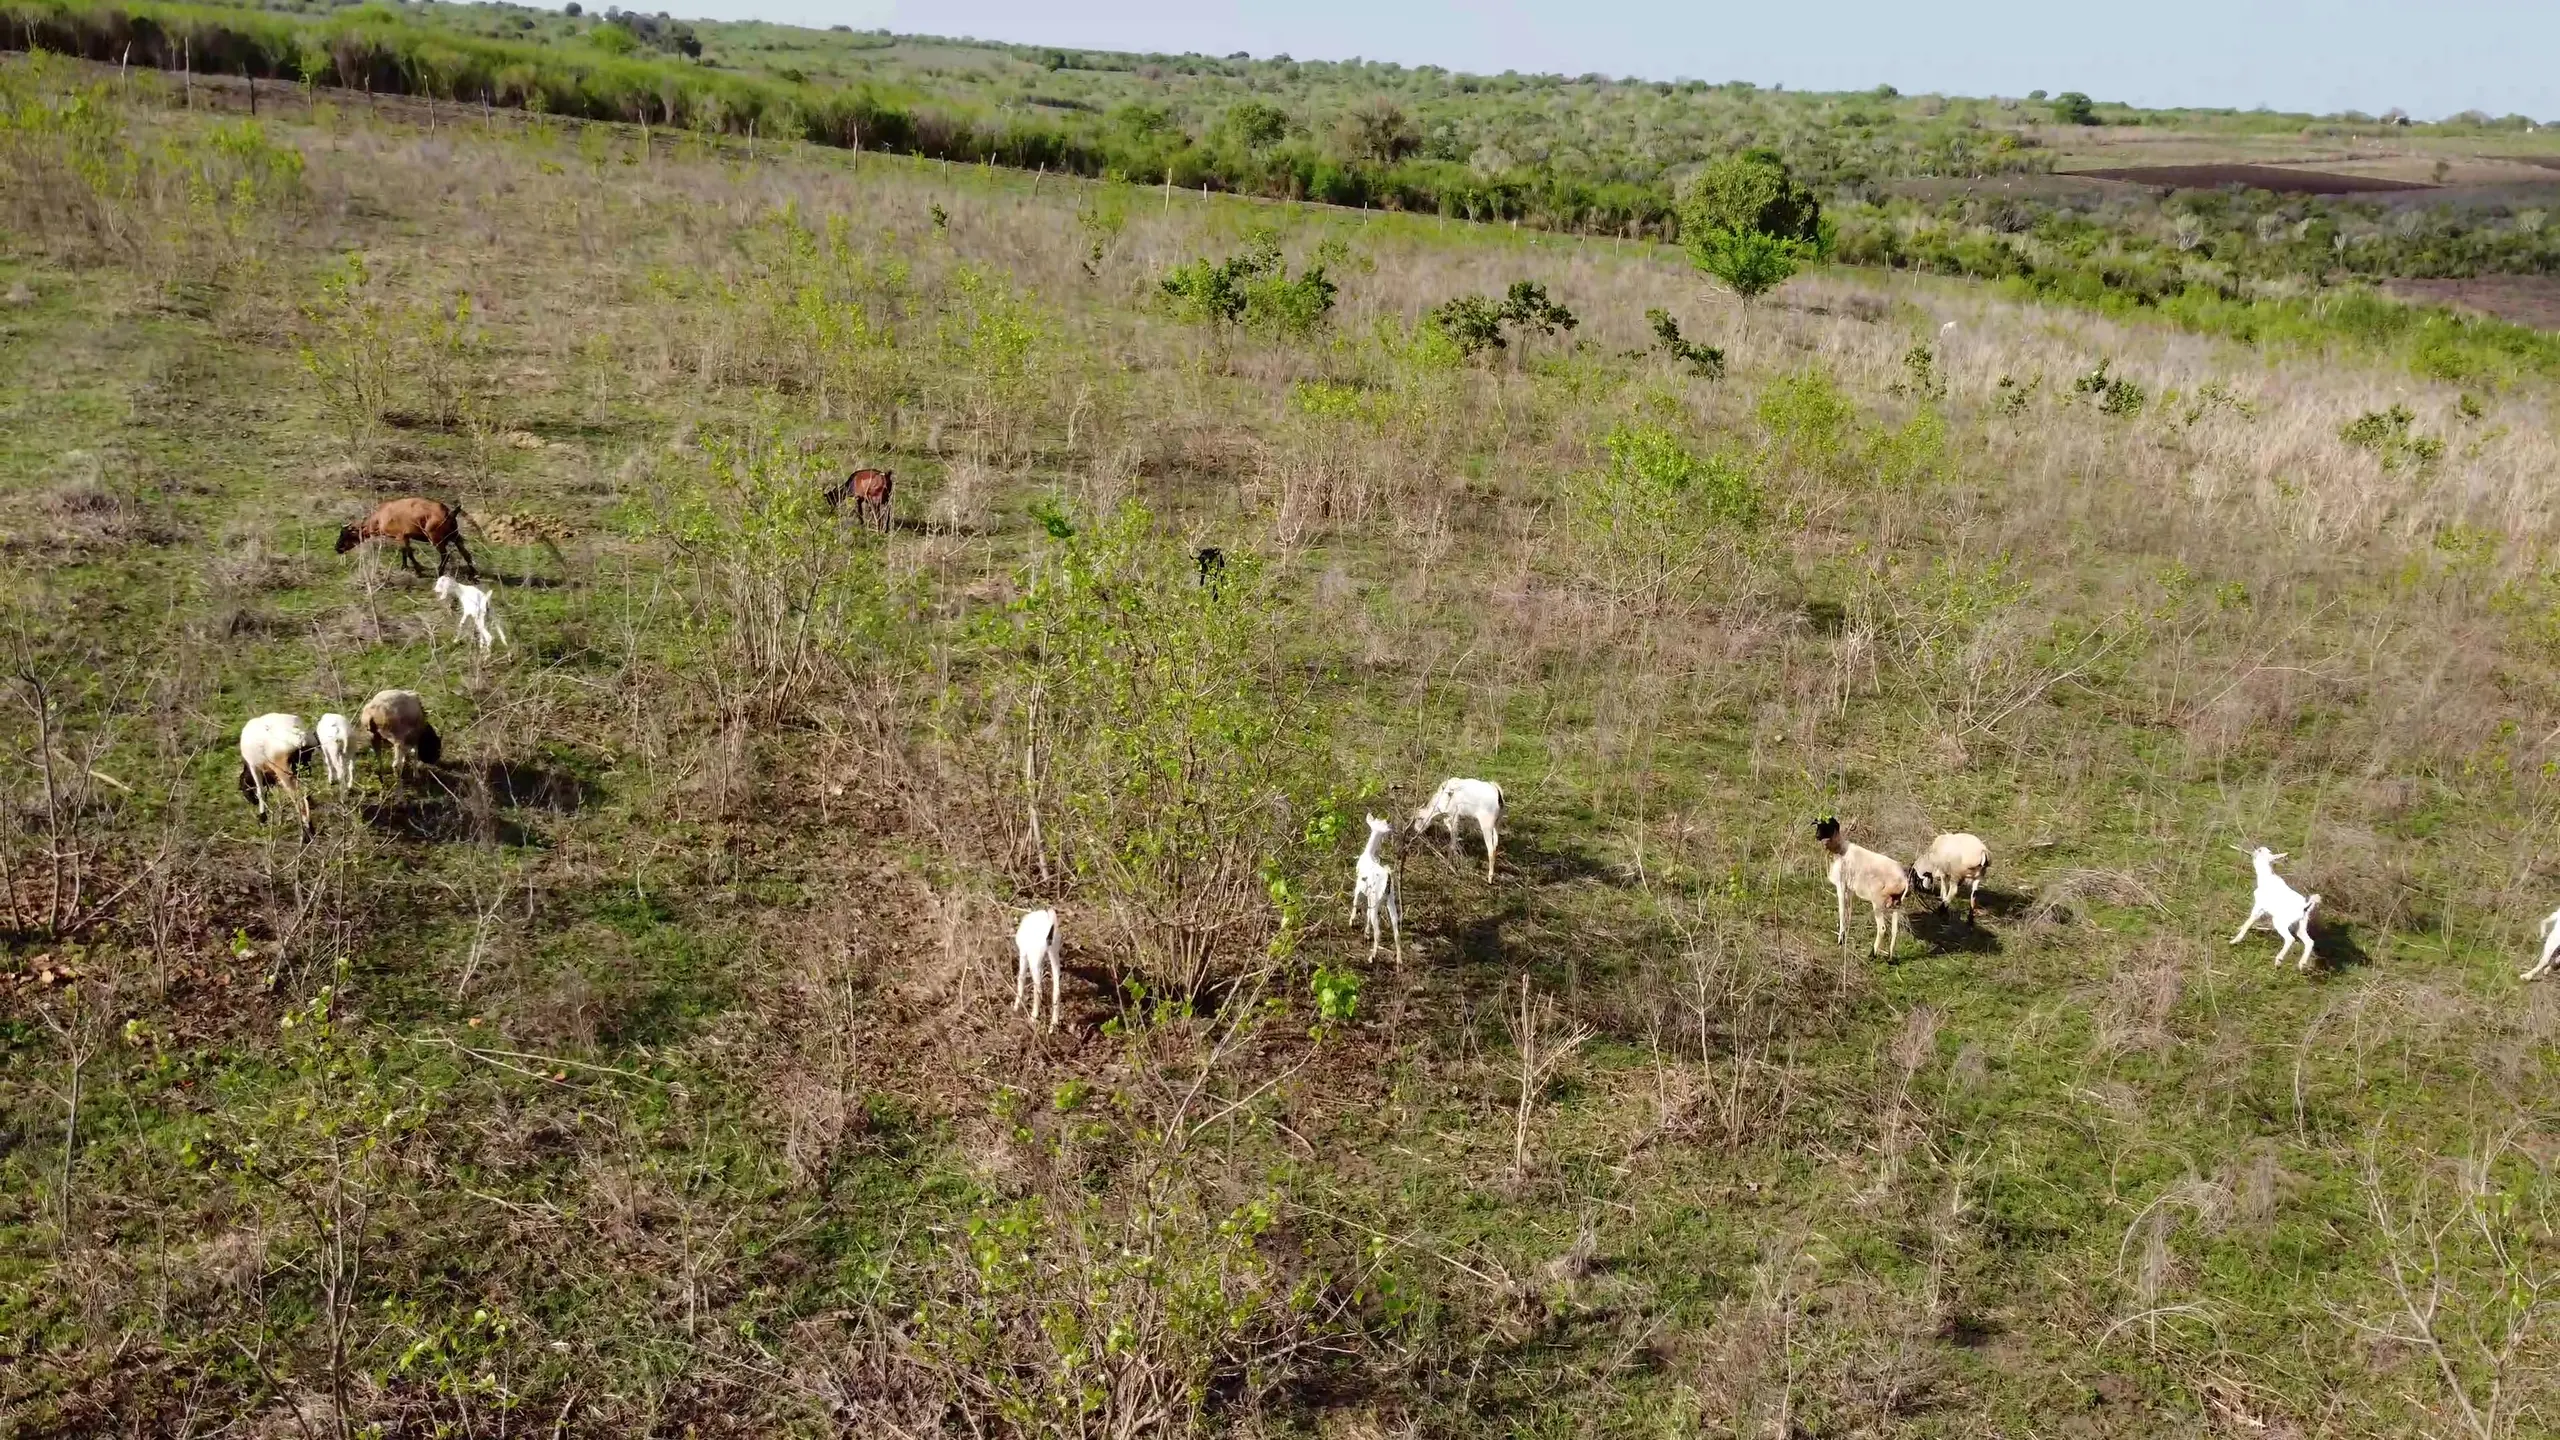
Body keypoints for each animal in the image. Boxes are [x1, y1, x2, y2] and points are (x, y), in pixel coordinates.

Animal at [336, 497, 475, 579]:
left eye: (345, 534)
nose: (337, 548)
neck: (381, 517)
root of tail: (449, 512)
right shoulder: (405, 537)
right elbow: (405, 552)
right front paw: (405, 567)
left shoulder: (400, 536)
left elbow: (408, 553)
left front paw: (418, 570)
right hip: (455, 536)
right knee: (466, 554)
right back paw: (473, 574)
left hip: (436, 538)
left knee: (445, 555)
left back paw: (439, 572)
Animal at [1351, 814, 1402, 962]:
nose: (1391, 827)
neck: (1369, 854)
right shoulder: (1369, 896)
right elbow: (1367, 912)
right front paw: (1366, 933)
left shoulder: (1359, 885)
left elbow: (1355, 901)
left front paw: (1351, 921)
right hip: (1389, 900)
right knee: (1396, 931)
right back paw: (1399, 961)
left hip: (1377, 899)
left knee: (1378, 931)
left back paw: (1372, 957)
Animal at [1817, 816, 1909, 956]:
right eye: (1818, 825)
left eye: (1828, 826)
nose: (1817, 836)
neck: (1840, 850)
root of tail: (1904, 879)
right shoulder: (1850, 889)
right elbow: (1849, 911)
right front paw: (1846, 934)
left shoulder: (1841, 885)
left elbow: (1842, 911)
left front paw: (1840, 939)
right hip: (1896, 904)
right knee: (1894, 930)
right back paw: (1890, 957)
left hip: (1878, 902)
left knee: (1882, 928)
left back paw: (1873, 954)